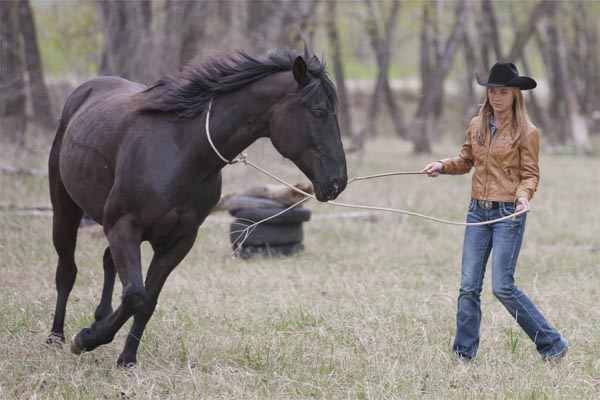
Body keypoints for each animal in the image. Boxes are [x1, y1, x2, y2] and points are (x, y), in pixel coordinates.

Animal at [48, 44, 346, 366]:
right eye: (318, 113)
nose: (338, 182)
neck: (182, 151)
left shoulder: (178, 241)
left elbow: (146, 301)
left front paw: (126, 358)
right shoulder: (123, 225)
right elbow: (134, 294)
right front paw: (86, 339)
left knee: (106, 261)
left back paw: (100, 317)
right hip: (65, 210)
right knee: (67, 272)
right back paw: (56, 336)